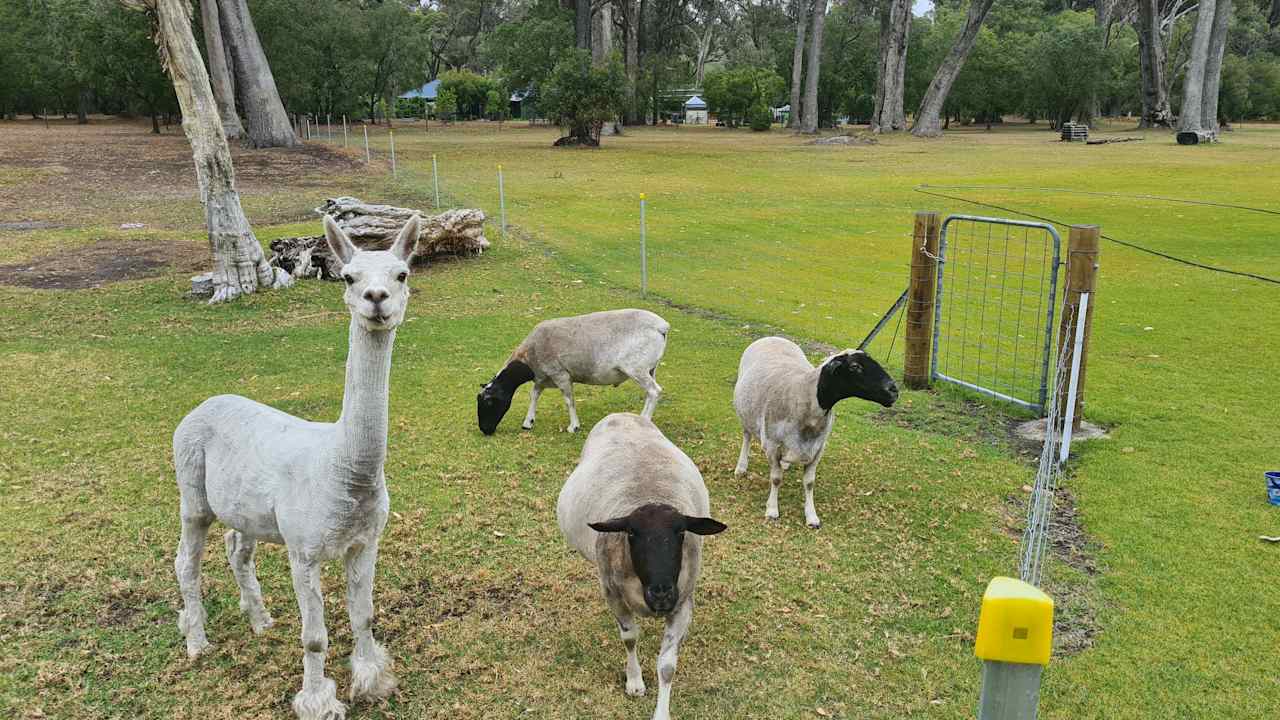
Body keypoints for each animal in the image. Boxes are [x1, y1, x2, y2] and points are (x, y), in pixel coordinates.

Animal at [170, 213, 417, 717]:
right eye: (349, 277)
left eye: (401, 274)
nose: (376, 299)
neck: (344, 470)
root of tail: (204, 404)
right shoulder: (304, 551)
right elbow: (315, 638)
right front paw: (319, 701)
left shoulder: (365, 540)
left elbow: (364, 615)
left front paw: (372, 680)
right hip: (192, 488)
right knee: (187, 560)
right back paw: (197, 642)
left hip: (248, 506)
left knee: (237, 548)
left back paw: (260, 619)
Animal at [473, 307, 670, 430]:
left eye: (489, 402)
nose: (485, 430)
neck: (529, 358)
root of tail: (662, 326)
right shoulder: (542, 377)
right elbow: (534, 395)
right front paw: (528, 422)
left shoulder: (560, 374)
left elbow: (569, 400)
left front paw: (574, 426)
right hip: (650, 368)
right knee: (650, 393)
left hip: (637, 367)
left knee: (655, 391)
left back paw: (644, 419)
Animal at [555, 409, 727, 717]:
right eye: (632, 534)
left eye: (681, 532)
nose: (662, 594)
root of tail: (622, 414)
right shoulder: (613, 594)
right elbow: (630, 638)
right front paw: (634, 682)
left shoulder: (683, 603)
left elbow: (667, 666)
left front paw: (661, 713)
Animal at [732, 335, 901, 527]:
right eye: (855, 366)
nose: (894, 390)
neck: (804, 394)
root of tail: (773, 337)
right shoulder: (772, 445)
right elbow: (776, 479)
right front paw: (772, 510)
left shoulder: (818, 447)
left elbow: (809, 483)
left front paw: (812, 516)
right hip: (745, 413)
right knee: (746, 436)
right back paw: (741, 467)